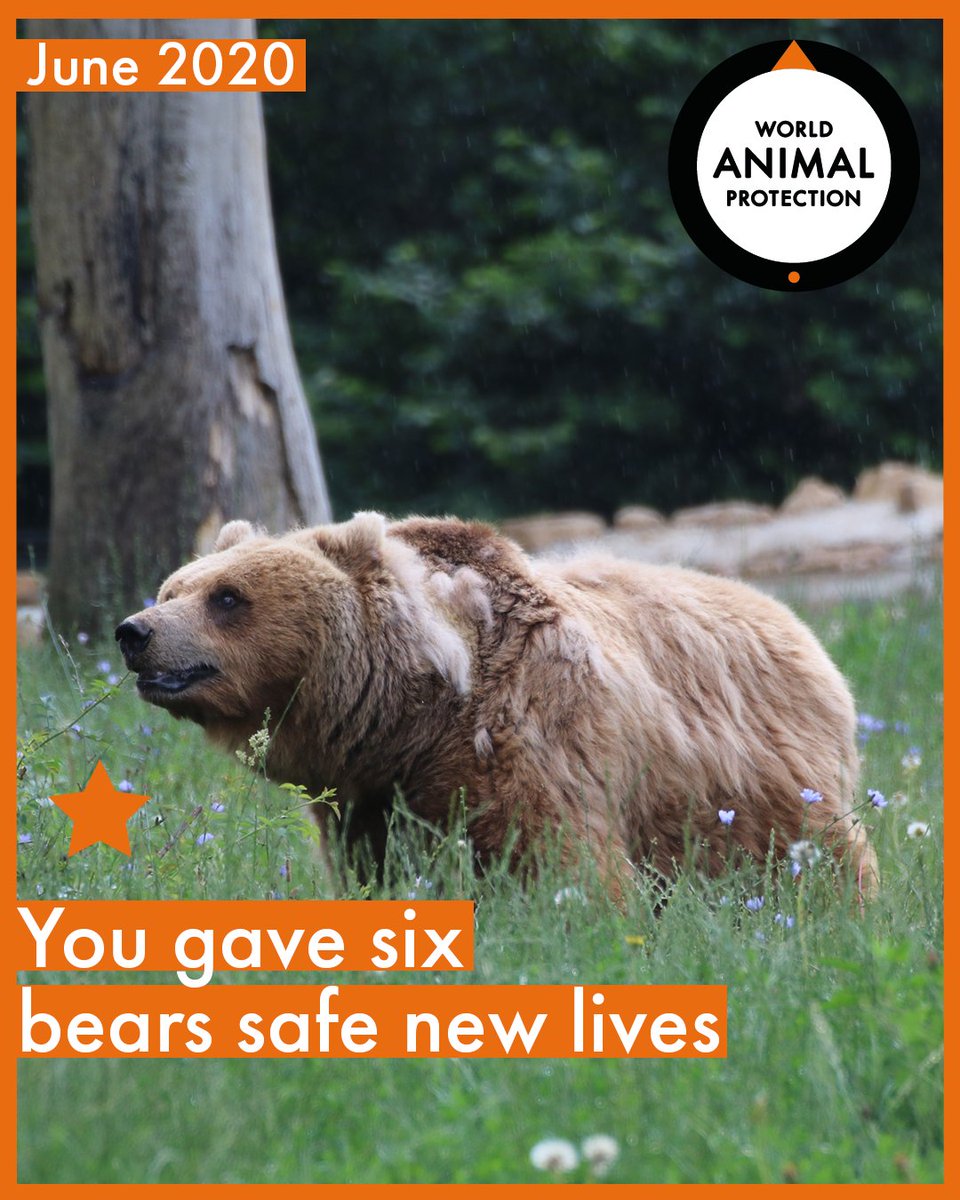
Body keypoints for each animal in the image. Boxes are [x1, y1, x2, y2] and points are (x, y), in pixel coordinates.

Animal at [116, 512, 876, 901]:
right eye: (173, 587)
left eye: (228, 597)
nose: (135, 632)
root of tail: (799, 626)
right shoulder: (373, 799)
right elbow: (375, 870)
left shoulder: (525, 738)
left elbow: (561, 863)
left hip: (765, 788)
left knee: (824, 860)